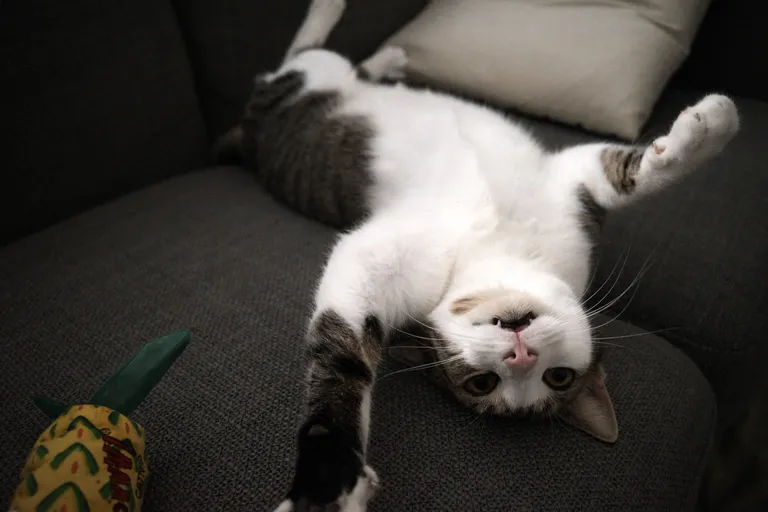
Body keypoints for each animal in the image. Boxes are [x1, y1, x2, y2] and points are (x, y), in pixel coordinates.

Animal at [213, 2, 740, 510]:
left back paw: (385, 57)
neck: (502, 248)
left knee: (330, 65)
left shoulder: (562, 195)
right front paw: (328, 478)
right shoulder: (405, 254)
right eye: (482, 384)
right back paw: (340, 21)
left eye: (557, 377)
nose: (519, 355)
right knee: (303, 54)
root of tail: (247, 134)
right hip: (302, 83)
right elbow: (342, 350)